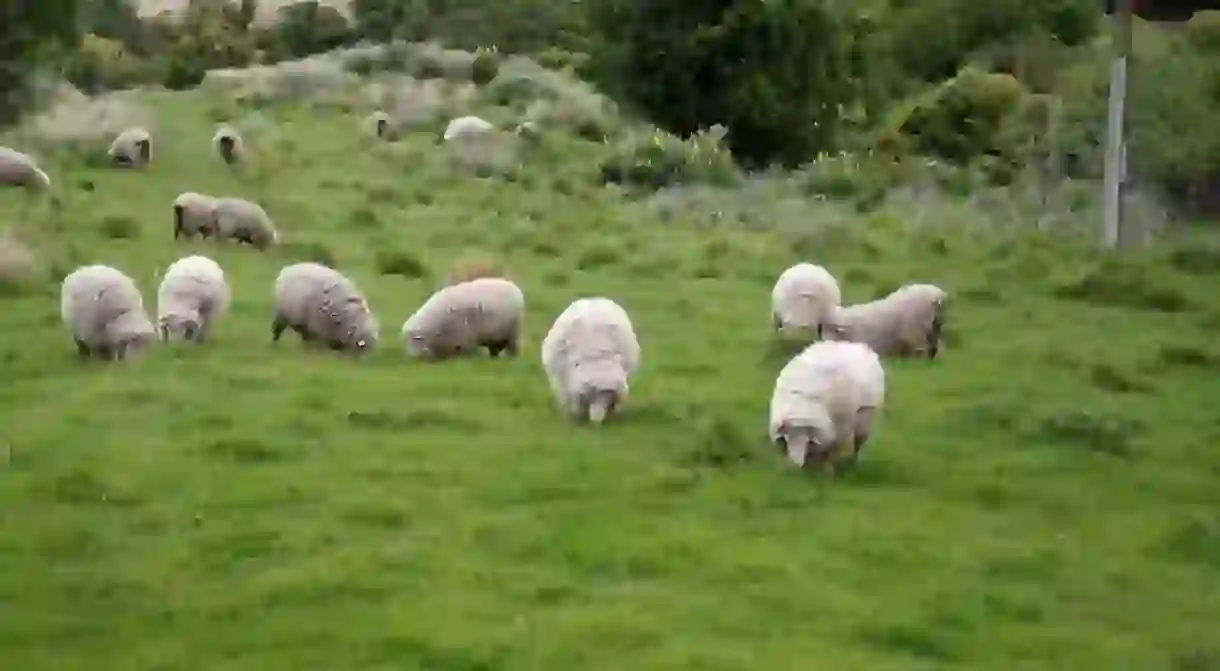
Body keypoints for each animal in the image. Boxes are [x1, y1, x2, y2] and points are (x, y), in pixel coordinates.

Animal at [771, 339, 888, 475]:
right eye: (788, 439)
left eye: (805, 440)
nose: (795, 466)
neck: (800, 405)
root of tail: (854, 344)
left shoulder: (838, 430)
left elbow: (831, 452)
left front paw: (828, 471)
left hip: (865, 418)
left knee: (858, 443)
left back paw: (852, 463)